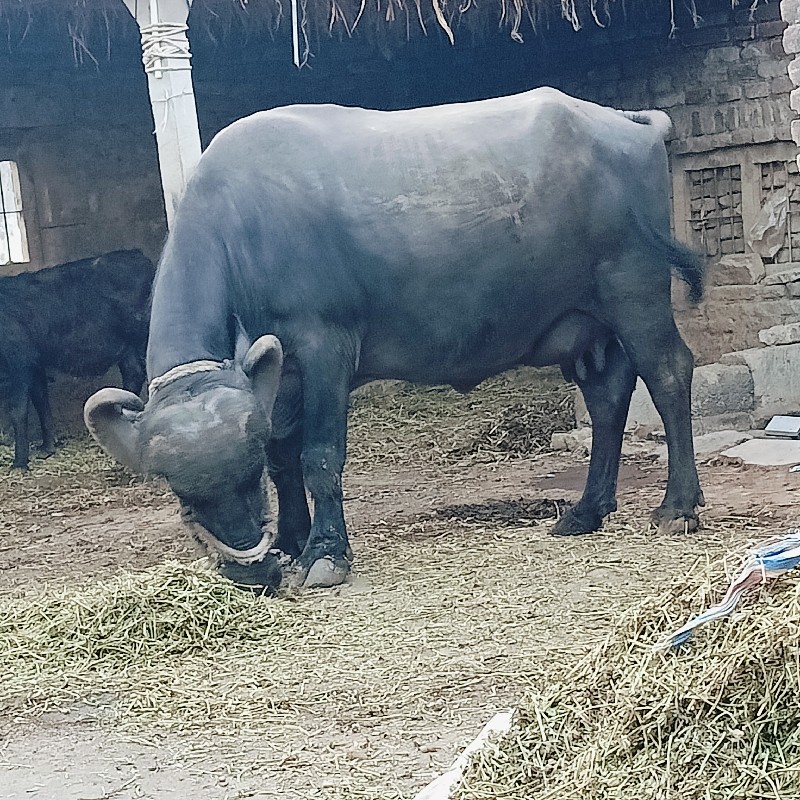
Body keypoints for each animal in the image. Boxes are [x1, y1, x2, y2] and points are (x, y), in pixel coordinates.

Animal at [2, 250, 155, 468]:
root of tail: (137, 255)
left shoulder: (19, 365)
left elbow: (18, 411)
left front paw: (20, 463)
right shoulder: (36, 364)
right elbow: (41, 402)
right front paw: (46, 447)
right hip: (127, 348)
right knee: (133, 375)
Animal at [84, 90, 704, 592]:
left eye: (245, 474)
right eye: (180, 491)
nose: (251, 572)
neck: (244, 233)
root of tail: (628, 124)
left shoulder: (324, 346)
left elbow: (318, 455)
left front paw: (324, 555)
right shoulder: (279, 379)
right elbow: (285, 456)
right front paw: (290, 539)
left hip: (634, 290)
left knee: (669, 373)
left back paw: (678, 506)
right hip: (586, 324)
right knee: (608, 398)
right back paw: (586, 510)